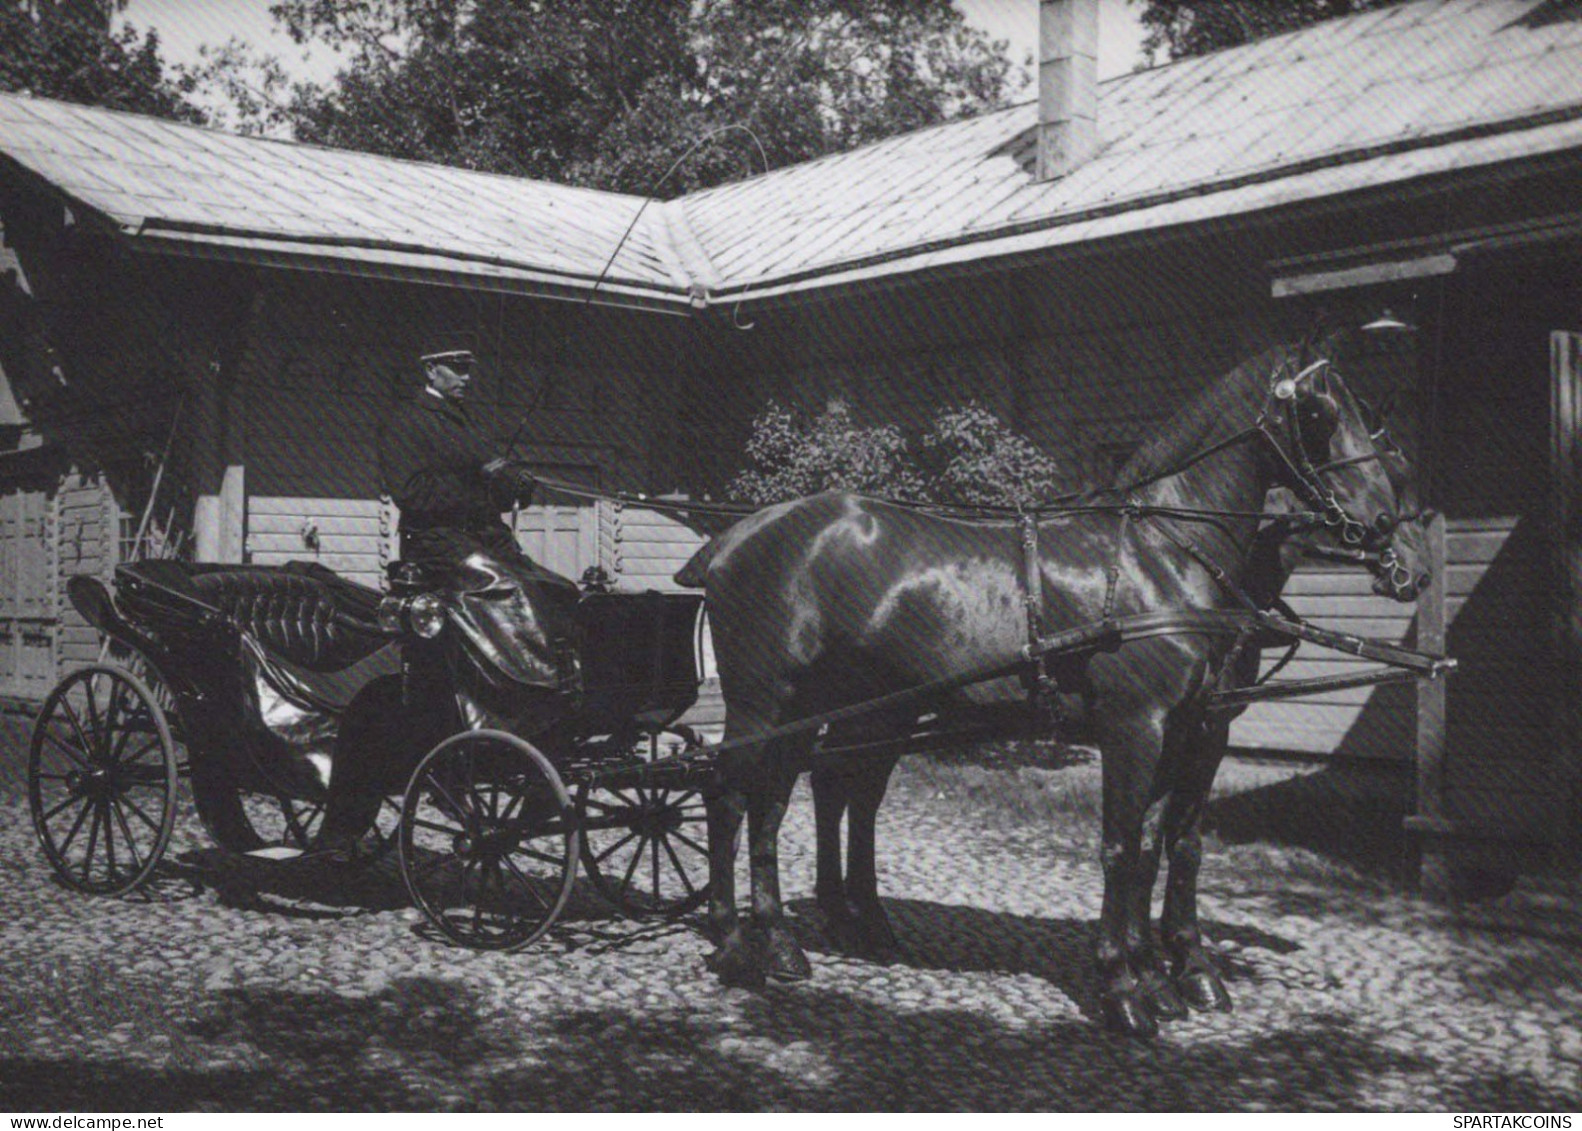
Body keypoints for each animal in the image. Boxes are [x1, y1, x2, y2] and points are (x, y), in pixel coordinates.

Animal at [680, 338, 1436, 1044]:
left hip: (839, 705)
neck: (1165, 554)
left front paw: (1175, 975)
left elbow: (1169, 844)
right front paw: (1126, 988)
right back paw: (736, 938)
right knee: (730, 795)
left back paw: (799, 935)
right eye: (1320, 414)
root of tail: (734, 535)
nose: (1399, 552)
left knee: (797, 796)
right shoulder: (1136, 725)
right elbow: (1122, 847)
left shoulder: (1192, 727)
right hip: (765, 702)